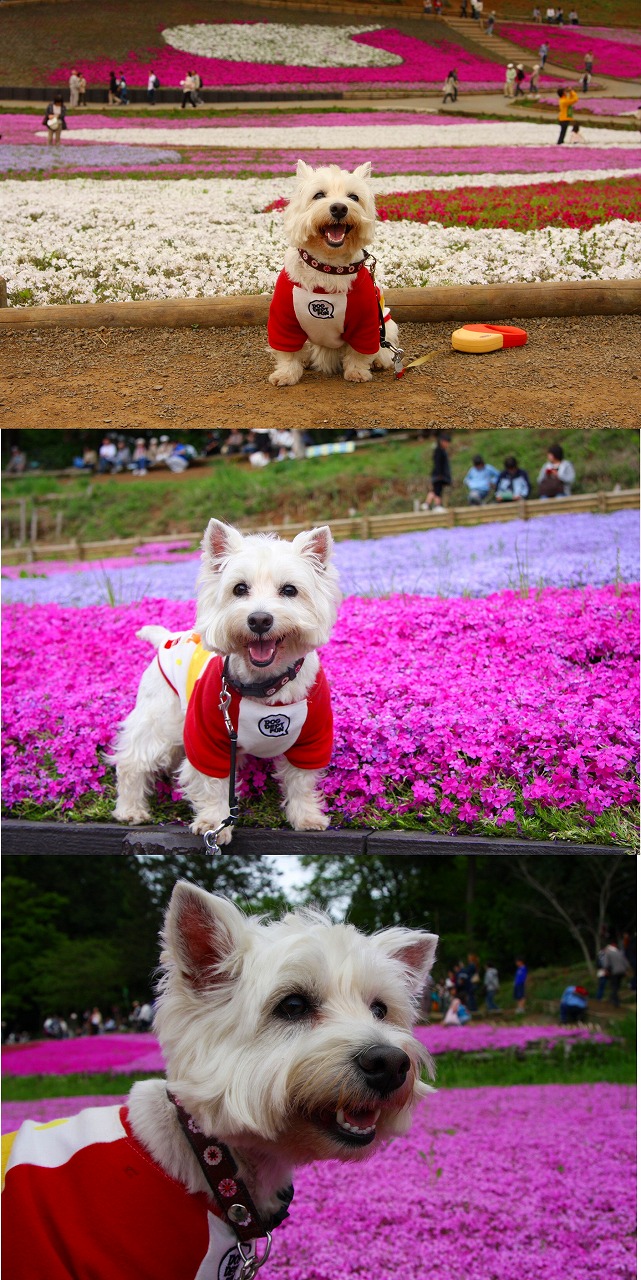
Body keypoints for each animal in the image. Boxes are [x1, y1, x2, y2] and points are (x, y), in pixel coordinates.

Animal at [111, 517, 340, 839]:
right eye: (239, 588)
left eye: (289, 590)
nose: (259, 619)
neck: (265, 687)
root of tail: (166, 637)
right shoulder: (207, 738)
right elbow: (212, 785)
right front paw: (213, 823)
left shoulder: (311, 739)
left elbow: (301, 781)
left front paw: (306, 817)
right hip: (160, 720)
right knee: (133, 761)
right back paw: (130, 810)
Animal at [268, 158, 399, 384]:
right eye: (319, 195)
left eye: (353, 197)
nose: (339, 208)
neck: (328, 267)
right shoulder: (283, 319)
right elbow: (288, 353)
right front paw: (285, 374)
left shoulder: (366, 322)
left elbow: (359, 352)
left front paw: (357, 372)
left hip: (385, 323)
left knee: (383, 347)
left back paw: (379, 361)